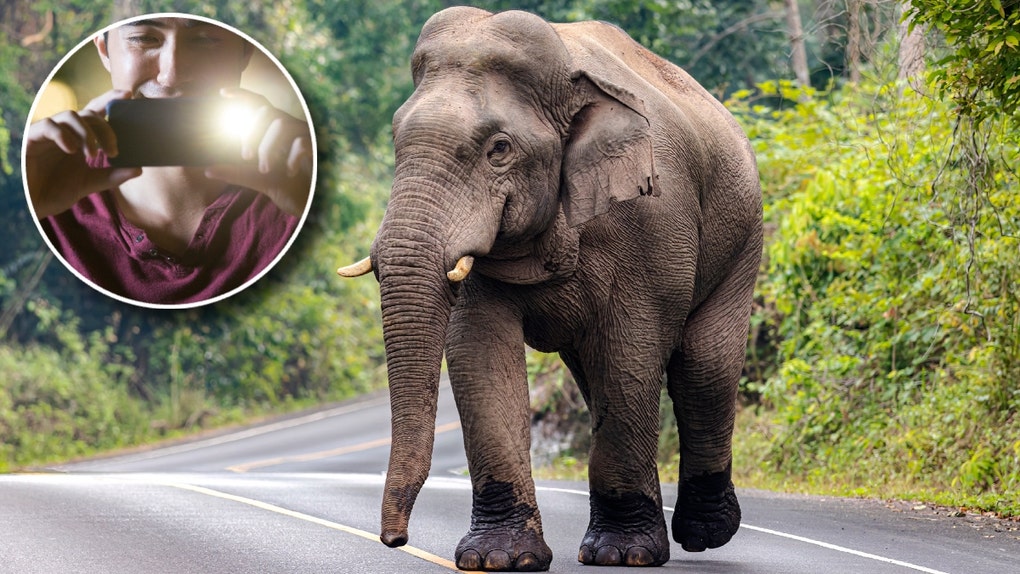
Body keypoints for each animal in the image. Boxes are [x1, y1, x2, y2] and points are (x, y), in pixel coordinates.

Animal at [337, 7, 762, 571]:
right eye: (395, 139)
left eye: (498, 149)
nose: (394, 540)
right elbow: (480, 354)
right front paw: (498, 558)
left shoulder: (651, 223)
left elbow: (631, 351)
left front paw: (621, 554)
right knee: (599, 377)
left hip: (743, 237)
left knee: (702, 370)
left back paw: (704, 534)